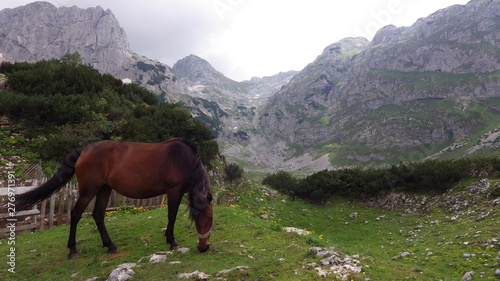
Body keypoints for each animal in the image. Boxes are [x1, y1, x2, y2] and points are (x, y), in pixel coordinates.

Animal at [10, 137, 213, 258]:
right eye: (211, 218)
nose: (204, 247)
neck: (184, 160)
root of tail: (84, 150)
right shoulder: (174, 191)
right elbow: (171, 216)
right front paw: (172, 242)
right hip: (89, 190)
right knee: (75, 214)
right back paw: (73, 250)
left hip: (104, 189)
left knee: (98, 215)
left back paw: (110, 246)